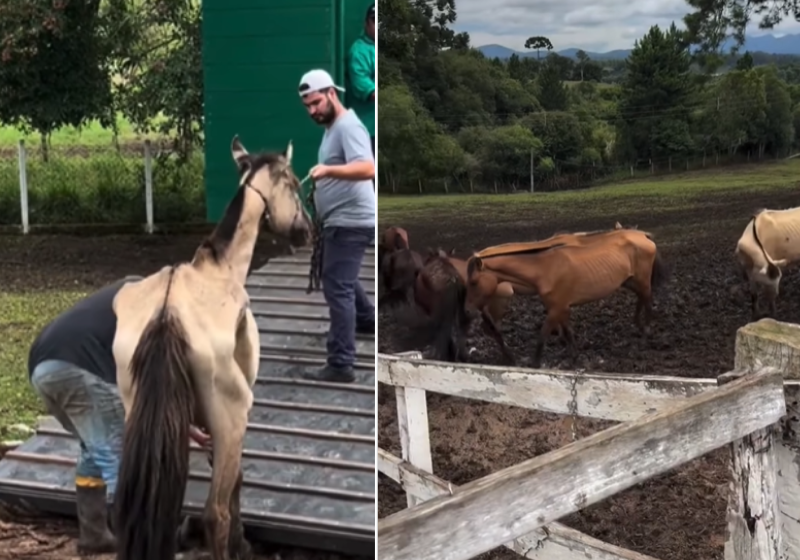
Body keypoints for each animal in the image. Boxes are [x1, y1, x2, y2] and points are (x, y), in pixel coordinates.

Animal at [112, 136, 312, 560]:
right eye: (294, 184)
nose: (306, 230)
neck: (220, 267)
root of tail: (167, 316)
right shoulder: (231, 421)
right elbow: (236, 483)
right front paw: (242, 542)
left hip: (134, 410)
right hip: (232, 416)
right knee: (214, 513)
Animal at [466, 228, 664, 368]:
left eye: (474, 282)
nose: (467, 310)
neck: (545, 268)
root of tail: (643, 236)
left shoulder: (557, 309)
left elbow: (543, 335)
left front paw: (535, 364)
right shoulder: (560, 307)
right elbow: (567, 332)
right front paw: (574, 356)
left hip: (642, 280)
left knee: (647, 301)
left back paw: (645, 335)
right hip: (630, 281)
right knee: (641, 298)